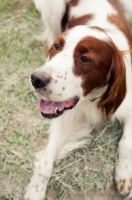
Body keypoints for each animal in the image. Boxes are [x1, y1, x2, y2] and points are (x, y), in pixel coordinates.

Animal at [23, 0, 132, 200]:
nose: (36, 79)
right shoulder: (63, 117)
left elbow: (126, 142)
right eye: (57, 47)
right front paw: (35, 190)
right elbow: (46, 159)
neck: (90, 99)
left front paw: (124, 174)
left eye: (85, 58)